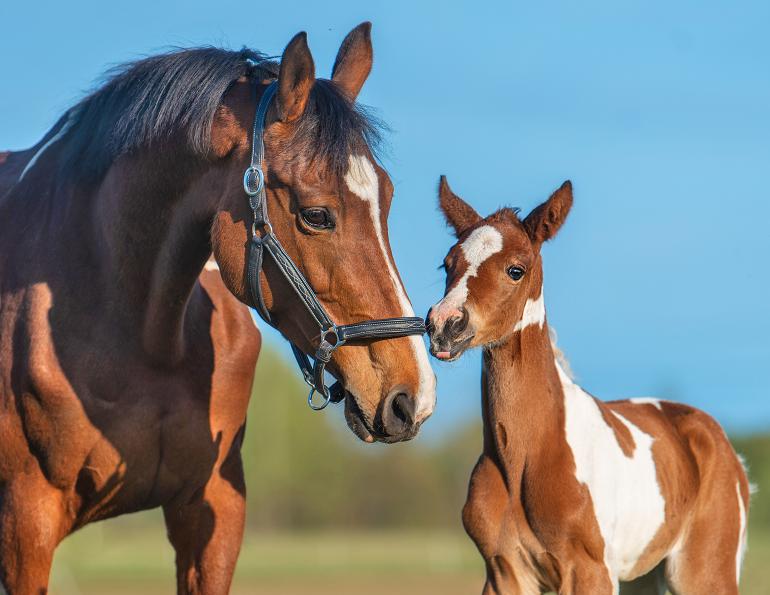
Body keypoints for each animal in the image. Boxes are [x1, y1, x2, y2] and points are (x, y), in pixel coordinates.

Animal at [425, 178, 750, 594]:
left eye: (516, 269)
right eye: (447, 264)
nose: (445, 324)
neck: (526, 455)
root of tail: (722, 443)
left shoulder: (589, 572)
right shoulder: (504, 572)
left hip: (705, 571)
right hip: (644, 578)